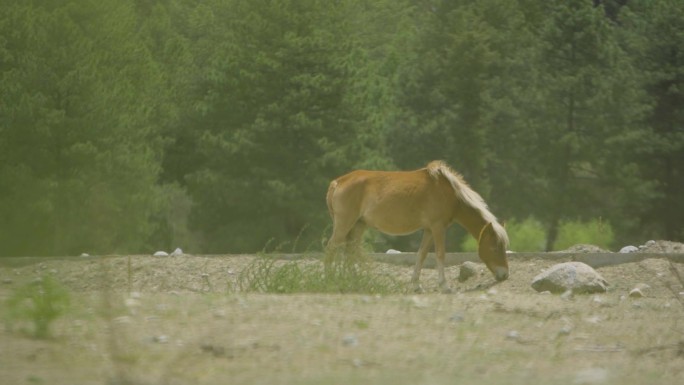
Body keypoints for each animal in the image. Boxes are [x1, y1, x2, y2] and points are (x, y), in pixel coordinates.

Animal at [326, 160, 508, 292]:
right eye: (495, 248)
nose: (505, 275)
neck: (450, 193)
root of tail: (338, 181)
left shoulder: (428, 230)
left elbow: (421, 254)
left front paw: (416, 285)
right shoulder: (438, 227)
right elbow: (440, 254)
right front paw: (444, 285)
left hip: (358, 225)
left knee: (350, 251)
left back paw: (354, 281)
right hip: (344, 224)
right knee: (332, 248)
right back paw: (330, 279)